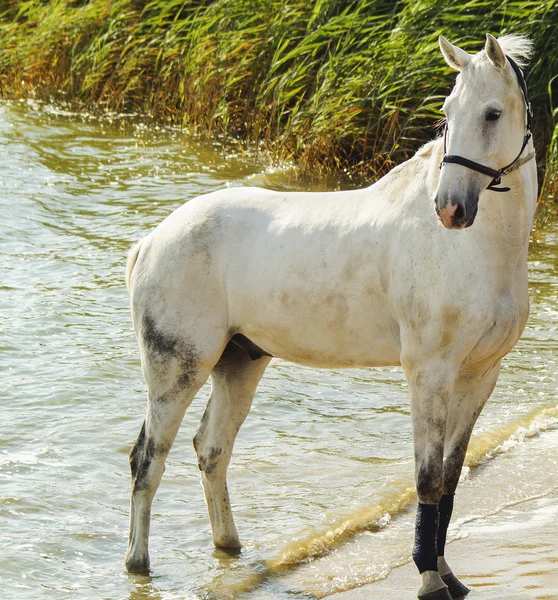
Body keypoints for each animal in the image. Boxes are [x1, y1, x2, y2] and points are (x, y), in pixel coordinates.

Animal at [126, 34, 540, 600]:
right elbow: (427, 477)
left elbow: (451, 478)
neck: (476, 251)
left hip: (239, 363)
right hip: (177, 370)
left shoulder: (479, 375)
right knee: (149, 460)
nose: (450, 208)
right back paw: (138, 564)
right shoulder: (430, 372)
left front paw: (448, 575)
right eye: (448, 111)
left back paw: (229, 547)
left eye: (492, 113)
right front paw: (429, 578)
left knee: (211, 450)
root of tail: (152, 241)